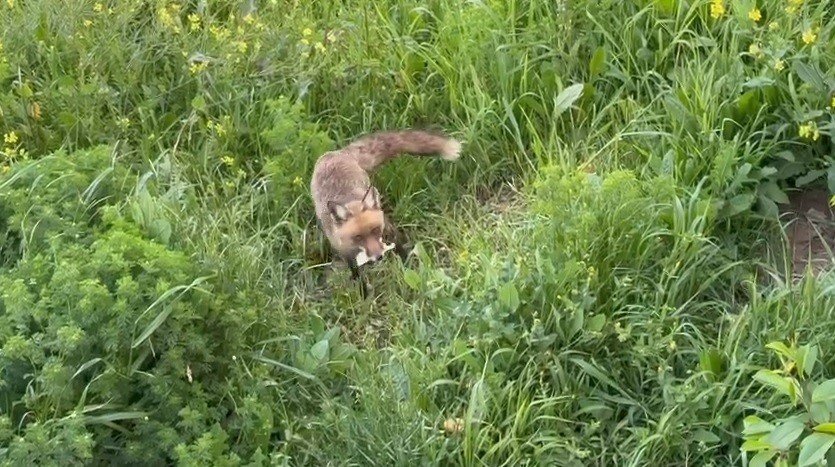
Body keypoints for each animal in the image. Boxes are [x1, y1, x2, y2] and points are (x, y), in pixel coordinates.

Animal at [310, 129, 464, 296]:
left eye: (376, 230)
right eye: (358, 237)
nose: (378, 257)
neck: (351, 201)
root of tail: (335, 153)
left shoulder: (387, 225)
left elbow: (400, 246)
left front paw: (409, 265)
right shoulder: (345, 251)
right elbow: (357, 274)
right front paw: (363, 294)